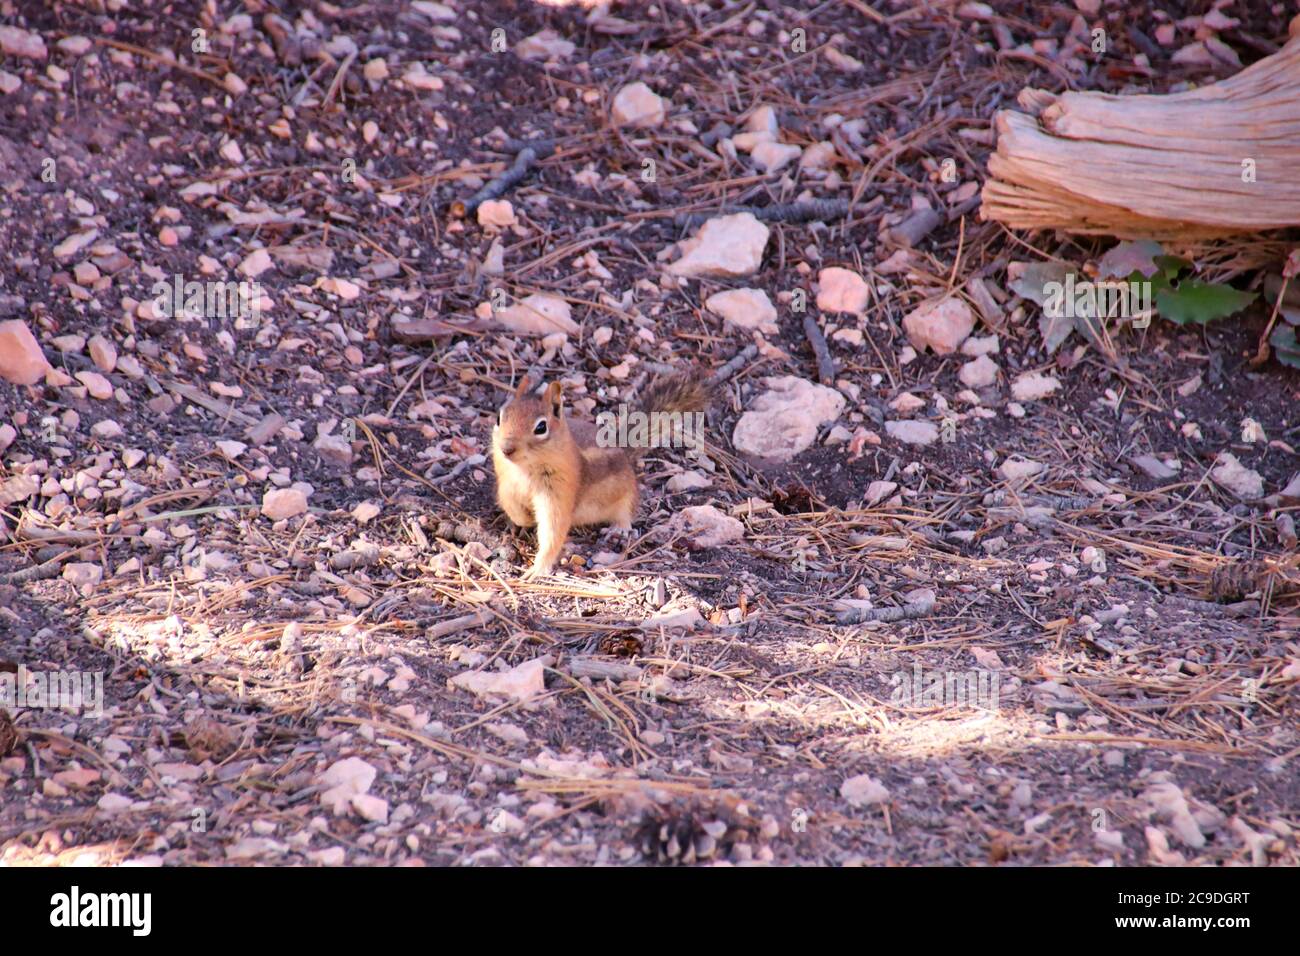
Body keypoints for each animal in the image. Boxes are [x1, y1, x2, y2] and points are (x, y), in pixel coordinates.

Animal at [488, 364, 712, 574]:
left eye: (541, 427)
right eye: (499, 418)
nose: (506, 449)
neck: (524, 470)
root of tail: (623, 452)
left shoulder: (558, 495)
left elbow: (553, 530)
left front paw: (538, 568)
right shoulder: (506, 486)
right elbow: (512, 507)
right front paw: (523, 519)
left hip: (626, 493)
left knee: (627, 511)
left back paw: (620, 530)